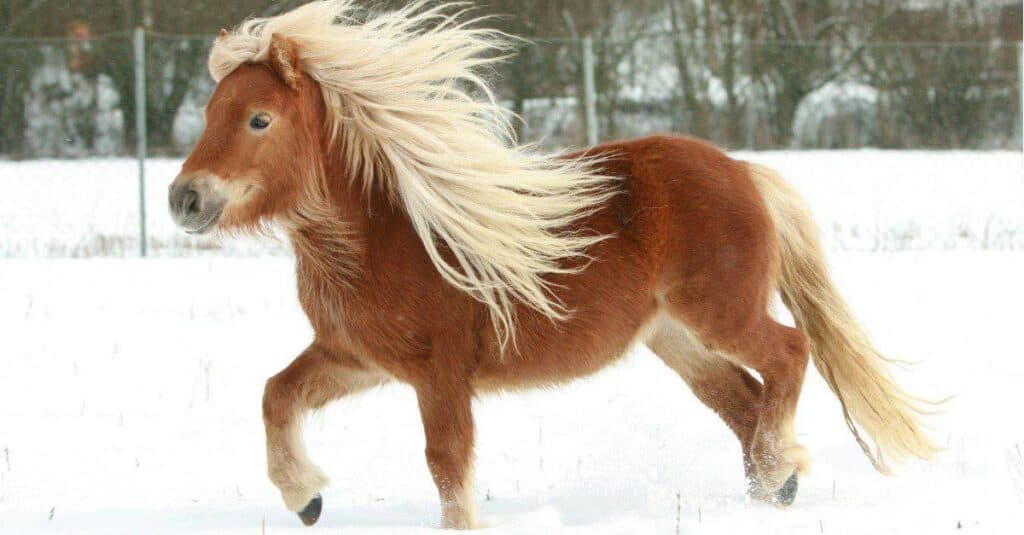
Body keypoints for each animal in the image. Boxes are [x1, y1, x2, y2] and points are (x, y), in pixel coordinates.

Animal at [168, 1, 936, 529]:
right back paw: (773, 486)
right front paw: (305, 497)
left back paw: (779, 467)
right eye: (210, 113)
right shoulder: (357, 357)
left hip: (721, 315)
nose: (185, 198)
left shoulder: (440, 374)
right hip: (675, 339)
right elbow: (276, 394)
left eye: (260, 119)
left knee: (789, 353)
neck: (383, 234)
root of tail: (744, 171)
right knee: (744, 400)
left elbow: (447, 464)